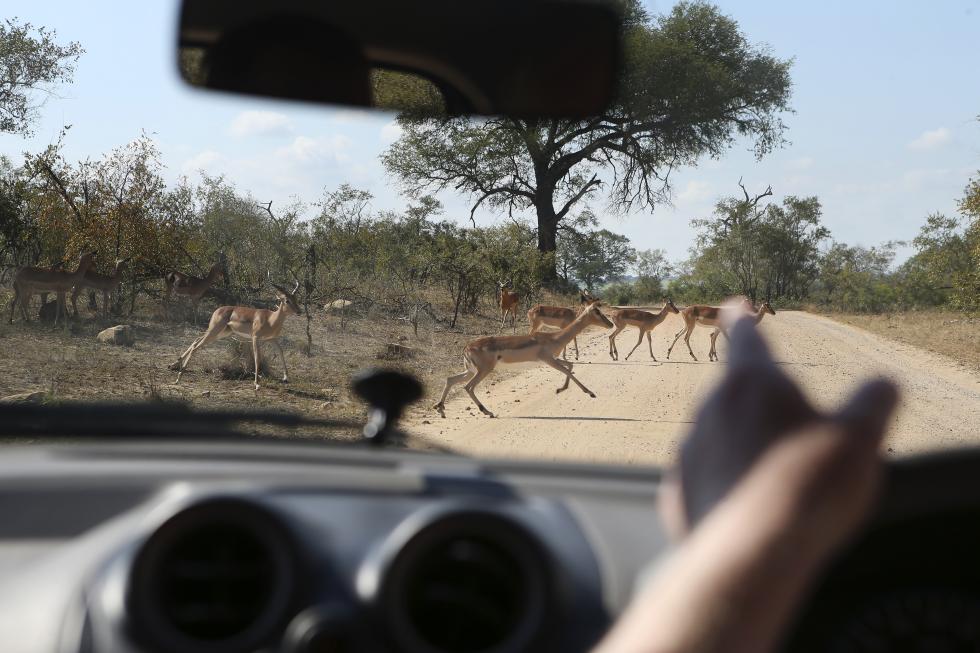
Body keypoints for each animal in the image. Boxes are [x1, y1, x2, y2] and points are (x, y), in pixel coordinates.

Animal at [170, 276, 302, 391]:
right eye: (287, 300)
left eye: (296, 299)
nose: (299, 311)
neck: (270, 319)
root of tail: (217, 310)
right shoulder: (255, 337)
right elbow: (257, 357)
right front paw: (256, 384)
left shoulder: (271, 339)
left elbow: (281, 352)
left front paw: (285, 378)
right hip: (214, 331)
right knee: (196, 347)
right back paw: (178, 377)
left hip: (221, 333)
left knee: (196, 339)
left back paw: (173, 365)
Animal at [434, 301, 614, 418]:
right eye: (597, 311)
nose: (610, 324)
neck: (555, 337)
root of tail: (466, 347)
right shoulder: (548, 360)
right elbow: (568, 370)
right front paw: (590, 392)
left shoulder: (552, 359)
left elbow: (570, 365)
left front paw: (560, 389)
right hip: (483, 370)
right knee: (468, 387)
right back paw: (488, 412)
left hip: (470, 370)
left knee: (450, 379)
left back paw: (440, 409)